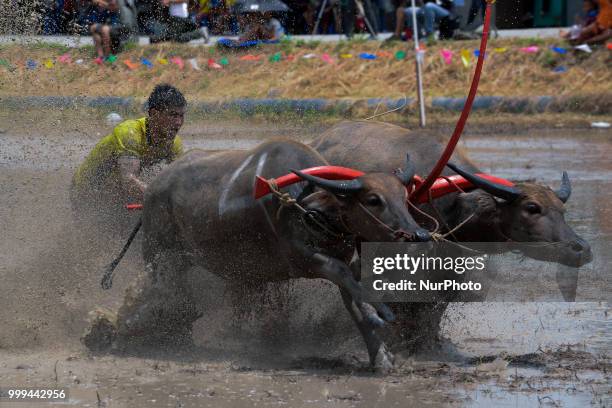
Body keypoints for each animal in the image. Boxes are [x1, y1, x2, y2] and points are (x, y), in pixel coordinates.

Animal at [85, 139, 430, 372]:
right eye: (373, 200)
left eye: (404, 196)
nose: (419, 235)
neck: (306, 206)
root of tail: (152, 191)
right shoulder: (305, 259)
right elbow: (350, 286)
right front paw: (382, 313)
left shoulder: (347, 260)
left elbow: (355, 300)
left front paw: (380, 356)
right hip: (158, 255)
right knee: (159, 292)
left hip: (180, 259)